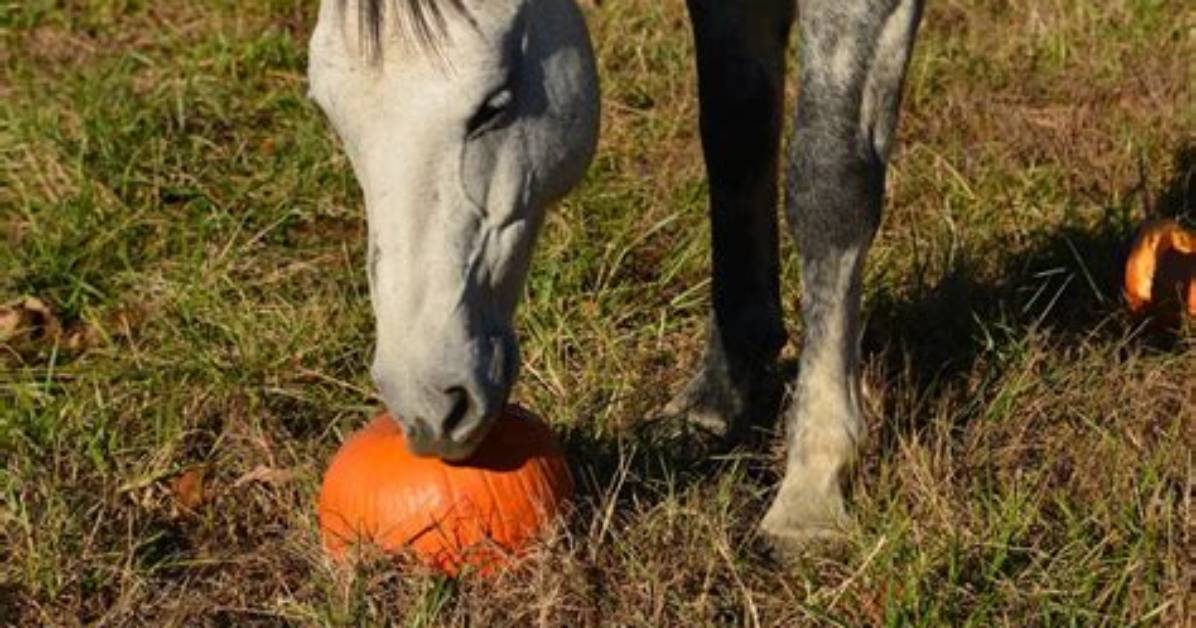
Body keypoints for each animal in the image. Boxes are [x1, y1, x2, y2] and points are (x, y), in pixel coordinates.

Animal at [307, 0, 922, 547]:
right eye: (328, 113)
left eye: (494, 105)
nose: (428, 405)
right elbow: (735, 139)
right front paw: (715, 403)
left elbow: (828, 186)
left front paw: (812, 491)